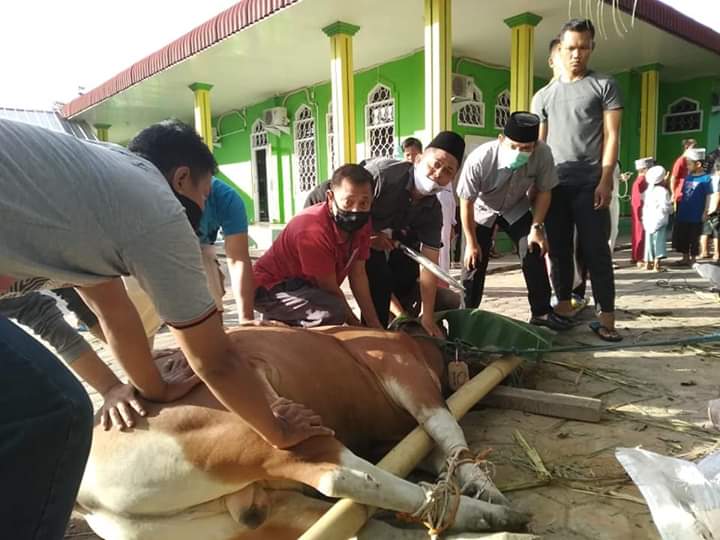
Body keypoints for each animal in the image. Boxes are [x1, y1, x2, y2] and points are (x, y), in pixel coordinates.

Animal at [76, 324, 528, 540]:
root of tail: (88, 496)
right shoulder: (405, 373)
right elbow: (447, 429)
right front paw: (490, 490)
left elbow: (438, 448)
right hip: (261, 430)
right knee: (342, 477)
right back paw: (497, 516)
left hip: (257, 519)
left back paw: (497, 527)